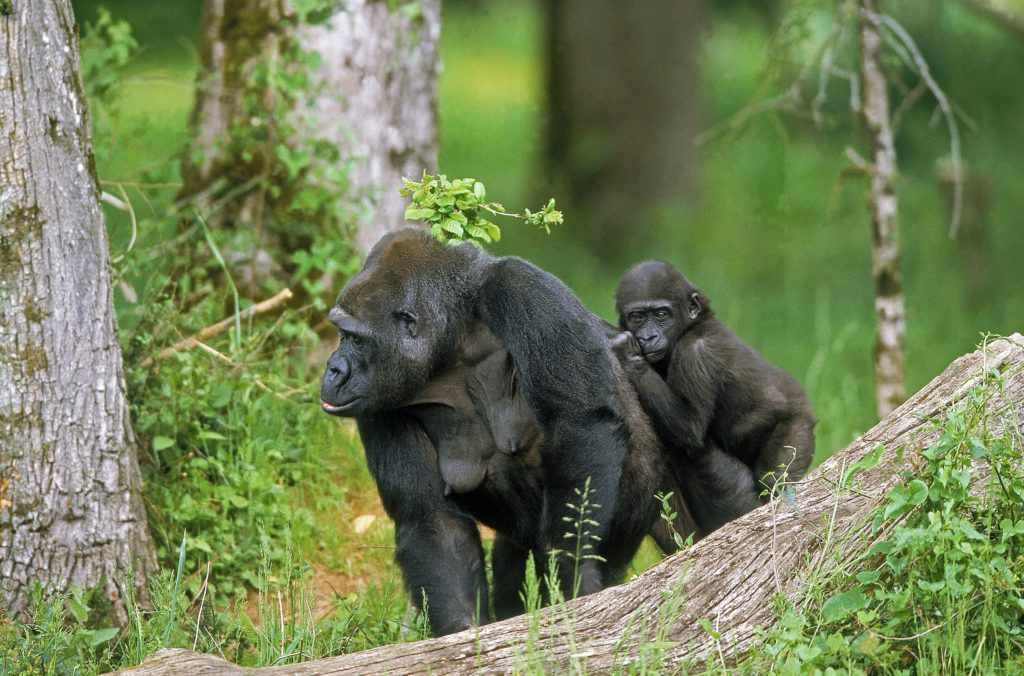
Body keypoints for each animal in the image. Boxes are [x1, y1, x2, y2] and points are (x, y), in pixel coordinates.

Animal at [319, 229, 688, 635]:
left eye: (355, 339)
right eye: (340, 334)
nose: (333, 370)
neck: (450, 342)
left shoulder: (521, 288)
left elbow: (580, 421)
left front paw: (569, 572)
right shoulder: (380, 400)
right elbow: (430, 516)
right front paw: (464, 630)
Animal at [614, 261, 815, 532]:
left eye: (661, 315)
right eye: (636, 317)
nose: (647, 337)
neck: (691, 326)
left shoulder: (696, 354)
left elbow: (688, 428)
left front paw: (628, 354)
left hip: (796, 425)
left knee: (773, 478)